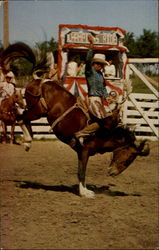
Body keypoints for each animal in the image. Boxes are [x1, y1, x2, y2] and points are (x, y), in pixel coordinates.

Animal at [0, 43, 150, 199]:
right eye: (128, 159)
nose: (112, 173)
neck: (106, 133)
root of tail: (40, 80)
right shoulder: (84, 150)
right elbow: (81, 172)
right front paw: (85, 192)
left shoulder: (81, 152)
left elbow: (81, 171)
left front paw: (84, 190)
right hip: (38, 110)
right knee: (21, 118)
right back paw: (28, 141)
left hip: (36, 111)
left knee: (23, 119)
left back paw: (28, 141)